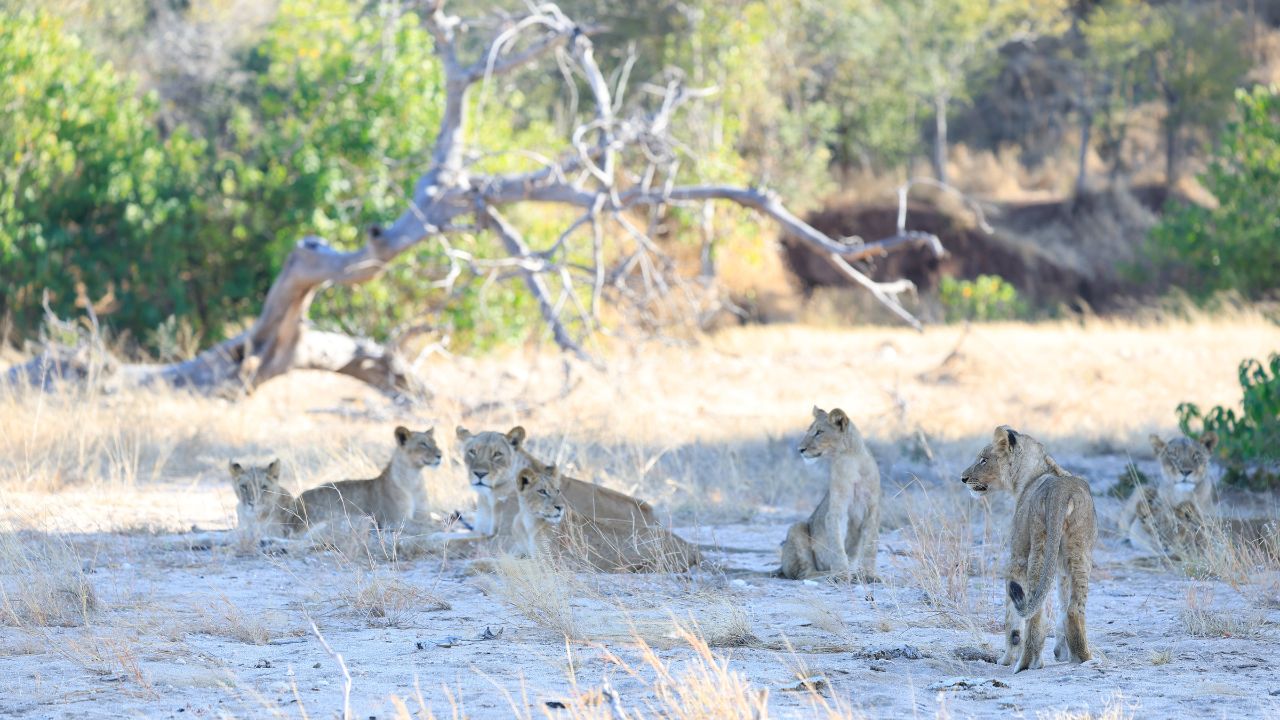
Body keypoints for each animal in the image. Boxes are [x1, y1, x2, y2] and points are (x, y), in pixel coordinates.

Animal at [513, 460, 702, 572]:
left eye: (557, 490)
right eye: (542, 491)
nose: (560, 507)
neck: (529, 522)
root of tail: (693, 548)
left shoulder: (558, 562)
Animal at [779, 406, 881, 581]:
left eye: (819, 432)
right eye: (808, 431)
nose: (800, 449)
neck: (852, 460)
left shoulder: (872, 510)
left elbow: (870, 546)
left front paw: (869, 575)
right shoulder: (836, 510)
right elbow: (837, 544)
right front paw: (841, 574)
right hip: (796, 527)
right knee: (805, 574)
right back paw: (832, 574)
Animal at [961, 426, 1097, 673]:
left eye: (984, 460)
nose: (963, 478)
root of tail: (1061, 492)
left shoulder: (1017, 555)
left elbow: (1012, 620)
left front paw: (1006, 658)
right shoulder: (1061, 567)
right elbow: (1062, 603)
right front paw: (1062, 651)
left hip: (1038, 545)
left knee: (1035, 610)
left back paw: (1027, 662)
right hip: (1080, 550)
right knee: (1073, 608)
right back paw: (1083, 657)